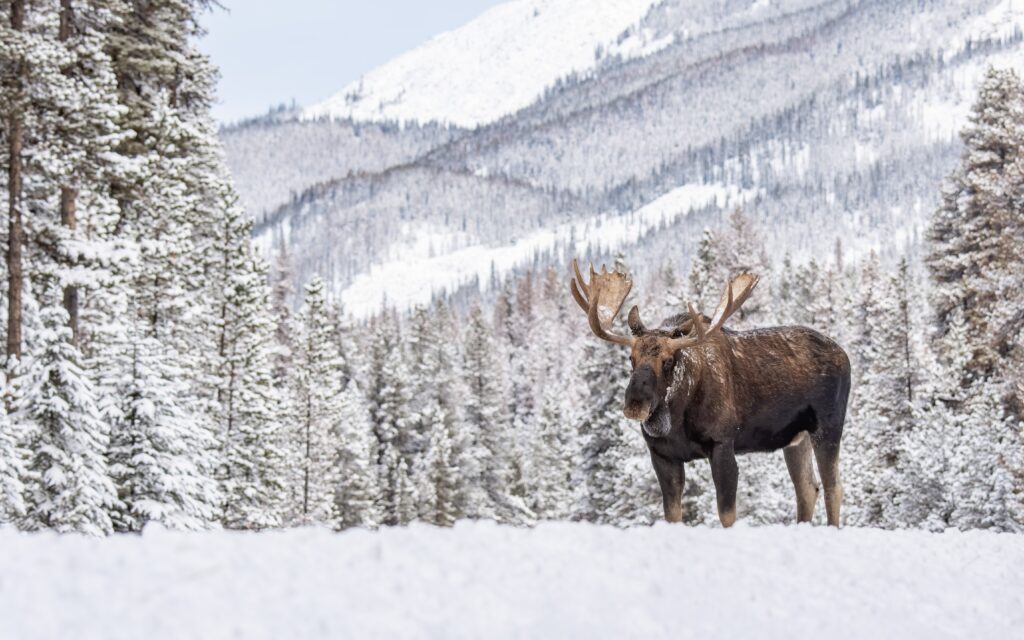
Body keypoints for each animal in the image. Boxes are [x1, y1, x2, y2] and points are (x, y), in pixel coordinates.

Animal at [573, 257, 851, 528]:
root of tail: (845, 356)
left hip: (827, 426)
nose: (635, 404)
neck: (677, 418)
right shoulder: (662, 455)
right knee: (807, 489)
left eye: (668, 360)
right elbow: (672, 516)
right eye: (631, 358)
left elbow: (727, 515)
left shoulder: (722, 445)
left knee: (833, 487)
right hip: (795, 438)